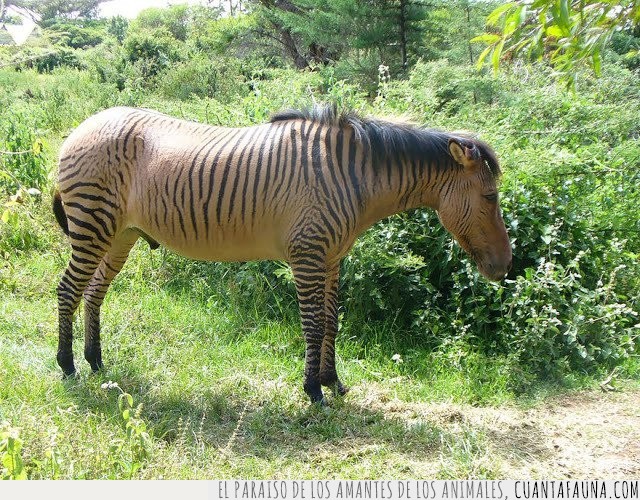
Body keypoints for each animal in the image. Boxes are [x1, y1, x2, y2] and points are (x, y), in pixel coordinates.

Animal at [56, 103, 516, 404]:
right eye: (491, 197)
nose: (506, 267)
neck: (354, 178)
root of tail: (81, 126)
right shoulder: (307, 254)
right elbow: (312, 325)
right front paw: (313, 391)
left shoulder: (333, 258)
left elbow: (332, 322)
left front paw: (333, 382)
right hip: (93, 225)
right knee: (67, 290)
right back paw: (68, 366)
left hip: (121, 234)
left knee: (93, 292)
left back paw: (96, 362)